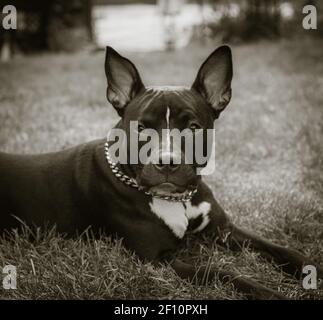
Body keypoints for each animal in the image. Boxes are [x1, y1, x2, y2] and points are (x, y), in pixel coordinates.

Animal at [0, 46, 322, 298]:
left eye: (192, 127)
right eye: (142, 127)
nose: (166, 162)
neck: (179, 198)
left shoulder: (224, 230)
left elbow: (280, 249)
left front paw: (311, 267)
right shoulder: (159, 259)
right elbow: (222, 273)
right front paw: (268, 292)